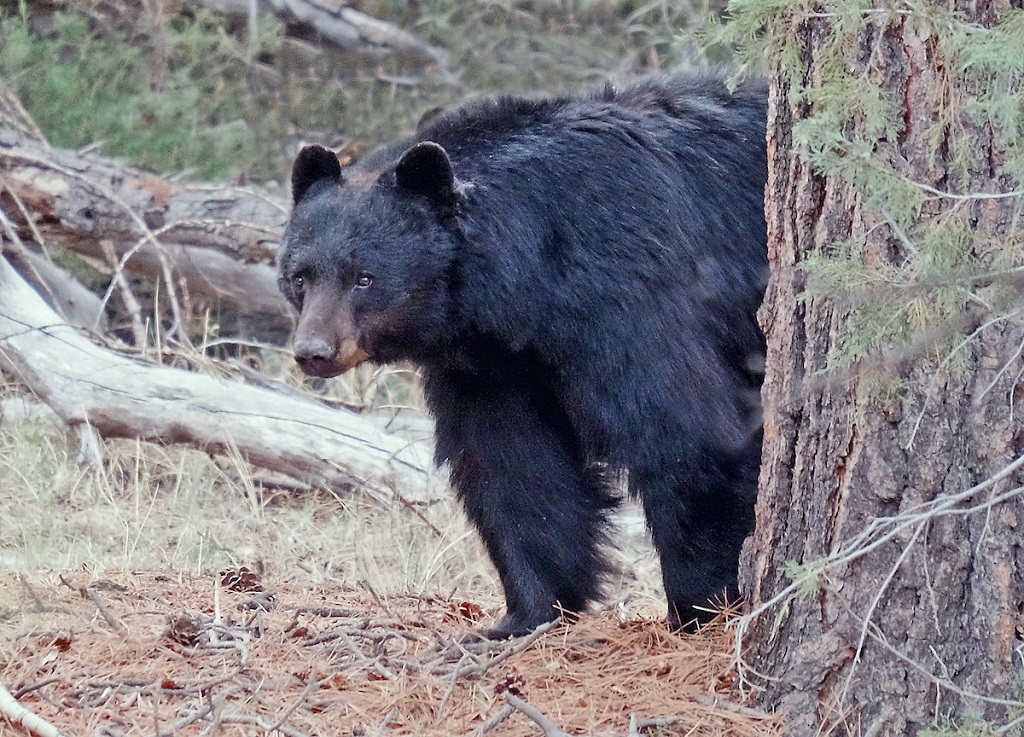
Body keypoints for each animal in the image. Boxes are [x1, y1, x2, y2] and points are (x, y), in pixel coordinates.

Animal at [278, 72, 768, 639]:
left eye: (364, 278)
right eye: (300, 276)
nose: (314, 352)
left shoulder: (631, 289)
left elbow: (687, 431)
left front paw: (702, 606)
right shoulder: (492, 363)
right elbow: (515, 466)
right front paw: (524, 615)